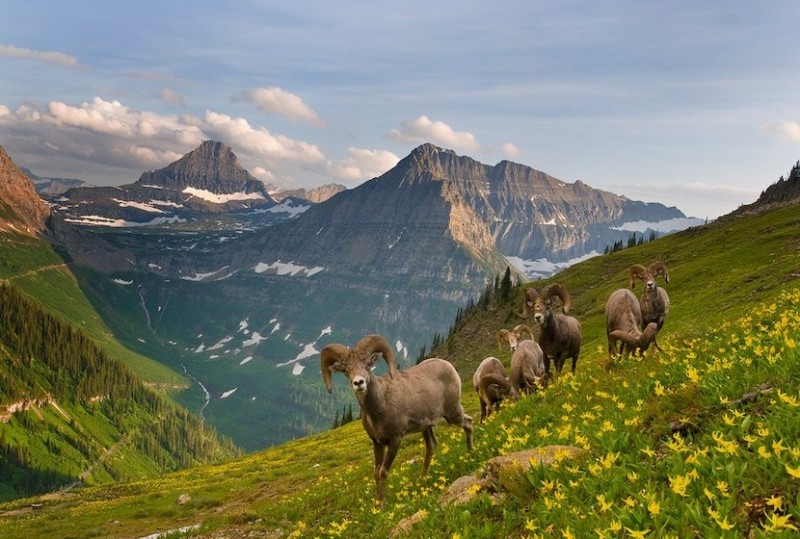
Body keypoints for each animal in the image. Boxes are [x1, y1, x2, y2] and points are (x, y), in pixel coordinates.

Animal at [320, 334, 472, 506]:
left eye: (367, 365)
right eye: (346, 370)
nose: (358, 383)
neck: (379, 408)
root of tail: (448, 366)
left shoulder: (395, 440)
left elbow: (383, 472)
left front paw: (381, 505)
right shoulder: (377, 443)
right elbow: (376, 472)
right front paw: (376, 504)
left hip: (453, 414)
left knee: (468, 423)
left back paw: (470, 453)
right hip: (426, 427)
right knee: (431, 446)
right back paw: (422, 478)